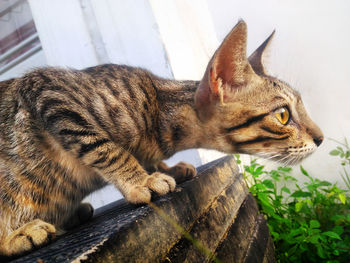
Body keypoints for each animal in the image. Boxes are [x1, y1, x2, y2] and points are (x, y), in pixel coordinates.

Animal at [0, 20, 322, 258]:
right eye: (283, 115)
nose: (320, 138)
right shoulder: (50, 92)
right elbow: (108, 149)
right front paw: (141, 180)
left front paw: (166, 169)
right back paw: (20, 233)